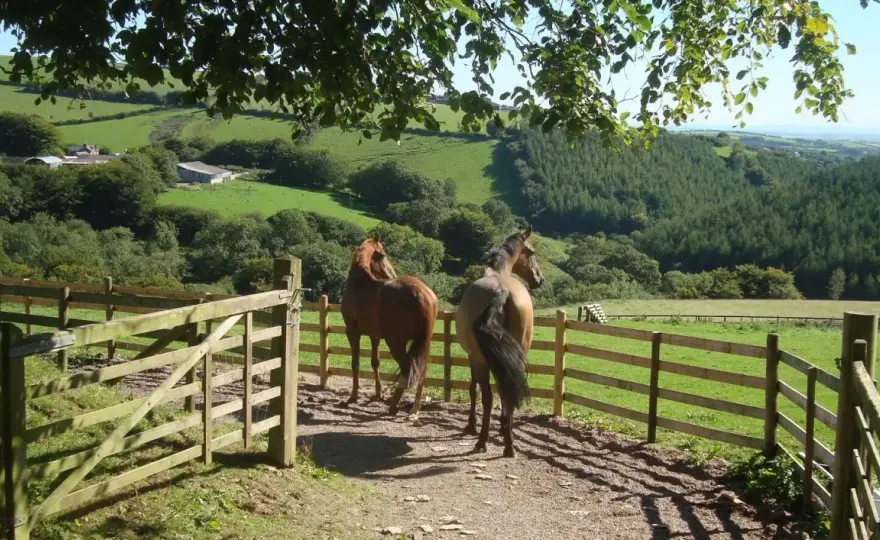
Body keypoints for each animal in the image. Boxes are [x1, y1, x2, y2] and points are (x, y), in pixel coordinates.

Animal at [341, 234, 439, 416]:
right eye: (383, 255)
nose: (392, 273)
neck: (359, 284)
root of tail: (424, 295)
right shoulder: (374, 336)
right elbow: (375, 362)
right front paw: (377, 394)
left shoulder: (352, 332)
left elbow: (355, 363)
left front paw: (353, 396)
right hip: (423, 343)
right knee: (421, 372)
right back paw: (414, 408)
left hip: (396, 342)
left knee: (407, 369)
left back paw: (393, 405)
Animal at [455, 226, 545, 457]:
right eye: (532, 252)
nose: (539, 279)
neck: (495, 274)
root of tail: (501, 291)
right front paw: (504, 426)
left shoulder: (473, 357)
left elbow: (474, 388)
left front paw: (471, 426)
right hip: (517, 354)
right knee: (508, 389)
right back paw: (509, 444)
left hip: (481, 359)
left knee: (488, 396)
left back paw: (482, 441)